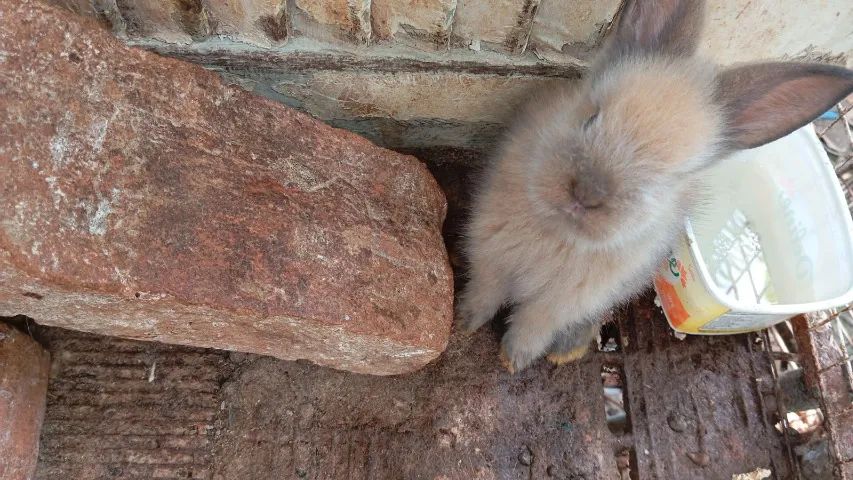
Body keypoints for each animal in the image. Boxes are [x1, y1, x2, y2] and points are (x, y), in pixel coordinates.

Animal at [457, 0, 853, 373]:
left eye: (670, 177)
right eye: (591, 115)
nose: (586, 194)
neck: (558, 233)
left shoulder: (561, 303)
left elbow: (531, 326)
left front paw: (514, 360)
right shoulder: (490, 256)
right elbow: (484, 294)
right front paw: (464, 324)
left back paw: (565, 351)